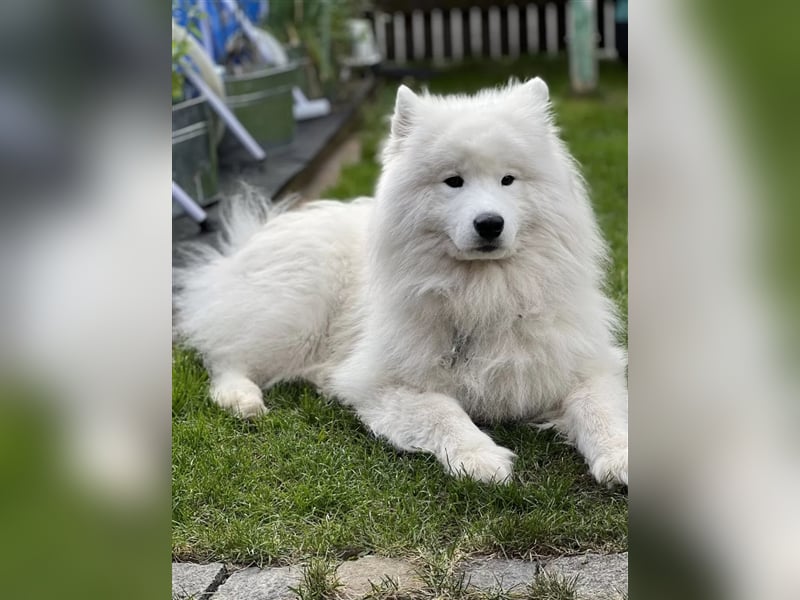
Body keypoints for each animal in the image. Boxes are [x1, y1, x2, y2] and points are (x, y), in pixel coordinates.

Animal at [177, 77, 632, 486]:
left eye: (508, 179)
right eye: (454, 181)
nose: (489, 223)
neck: (484, 292)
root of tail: (245, 240)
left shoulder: (586, 365)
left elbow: (600, 410)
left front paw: (620, 456)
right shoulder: (385, 385)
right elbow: (444, 414)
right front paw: (479, 458)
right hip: (294, 319)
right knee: (226, 357)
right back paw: (241, 398)